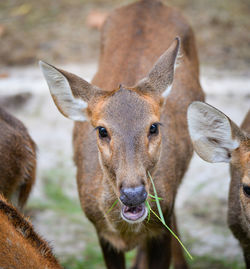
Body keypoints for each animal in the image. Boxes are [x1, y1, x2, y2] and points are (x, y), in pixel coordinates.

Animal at [38, 0, 203, 266]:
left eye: (153, 126)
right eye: (102, 130)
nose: (133, 194)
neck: (126, 233)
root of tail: (148, 3)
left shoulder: (161, 229)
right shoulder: (102, 233)